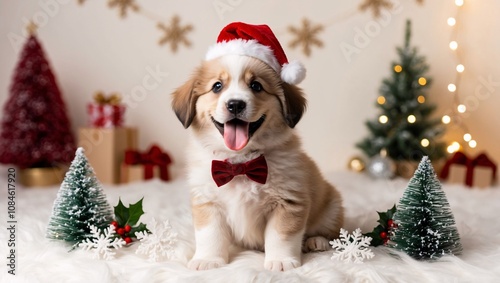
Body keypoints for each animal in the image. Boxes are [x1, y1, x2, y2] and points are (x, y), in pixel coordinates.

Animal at [170, 22, 342, 272]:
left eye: (256, 86)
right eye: (217, 86)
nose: (235, 104)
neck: (241, 164)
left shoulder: (289, 202)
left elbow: (281, 236)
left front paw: (280, 261)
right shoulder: (208, 202)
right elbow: (210, 235)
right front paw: (208, 260)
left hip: (332, 206)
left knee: (331, 232)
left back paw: (316, 241)